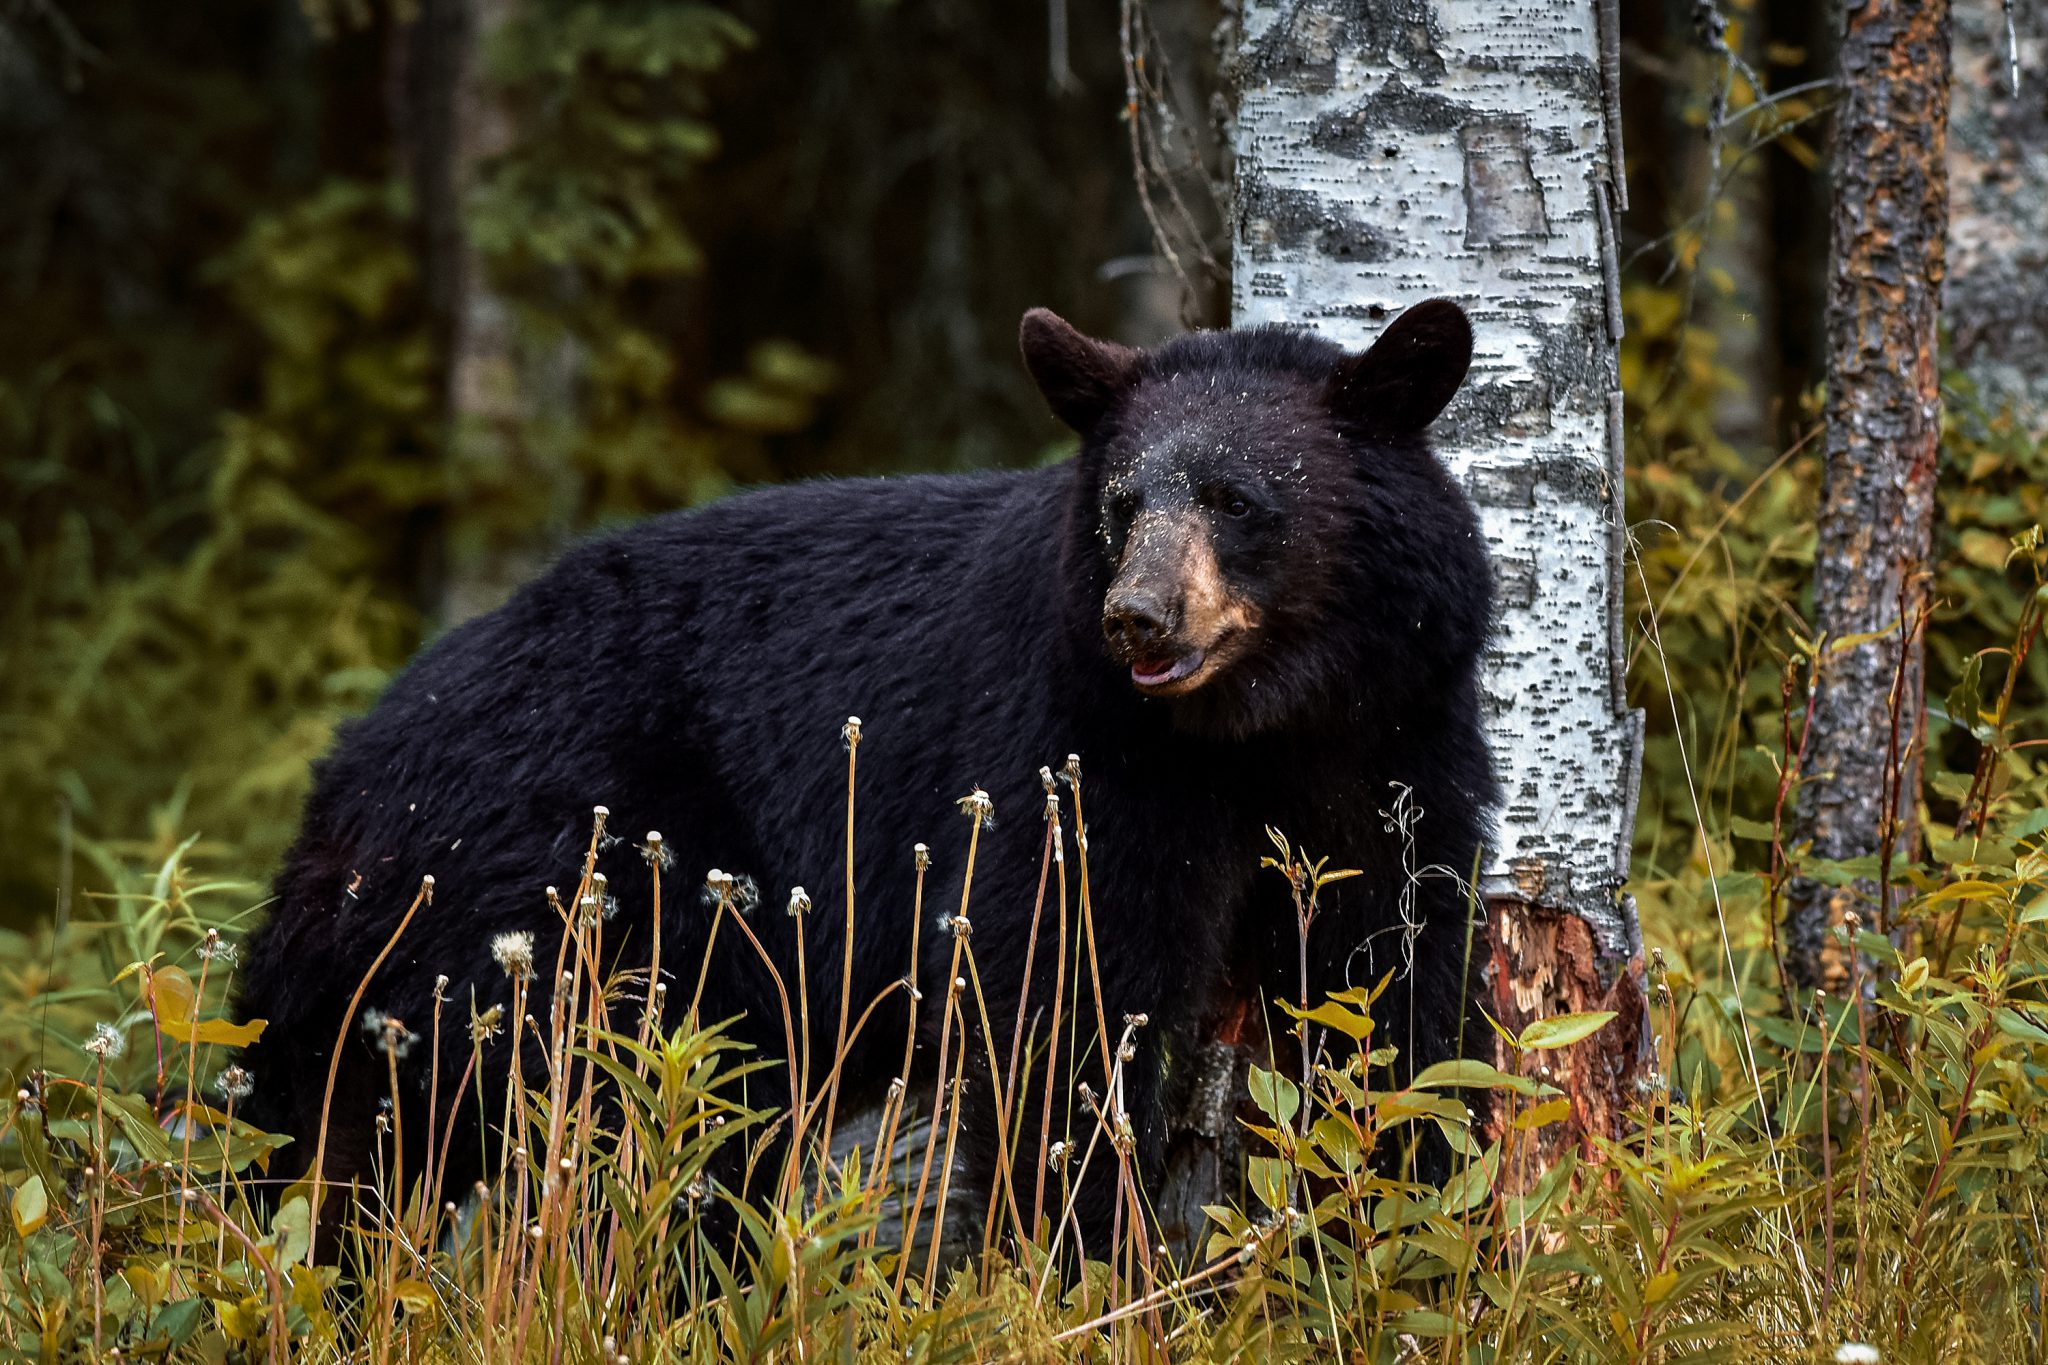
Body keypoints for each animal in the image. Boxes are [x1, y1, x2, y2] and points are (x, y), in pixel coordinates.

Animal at [239, 298, 1499, 1260]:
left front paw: (1420, 1217)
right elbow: (1069, 1003)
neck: (1253, 728)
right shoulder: (1074, 760)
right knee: (560, 1128)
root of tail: (344, 783)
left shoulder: (1393, 749)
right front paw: (1090, 1265)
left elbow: (1400, 982)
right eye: (1121, 504)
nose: (1135, 617)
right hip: (564, 906)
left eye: (1237, 501)